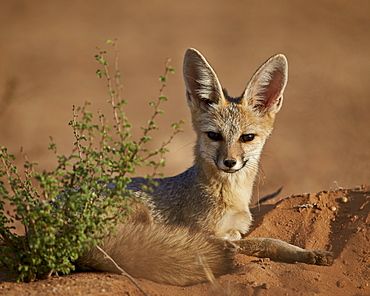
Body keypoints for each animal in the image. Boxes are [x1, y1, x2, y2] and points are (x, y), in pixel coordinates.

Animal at [76, 48, 334, 286]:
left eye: (247, 137)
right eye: (214, 136)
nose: (229, 162)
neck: (232, 196)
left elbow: (266, 240)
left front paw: (307, 253)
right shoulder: (206, 231)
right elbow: (259, 242)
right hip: (140, 214)